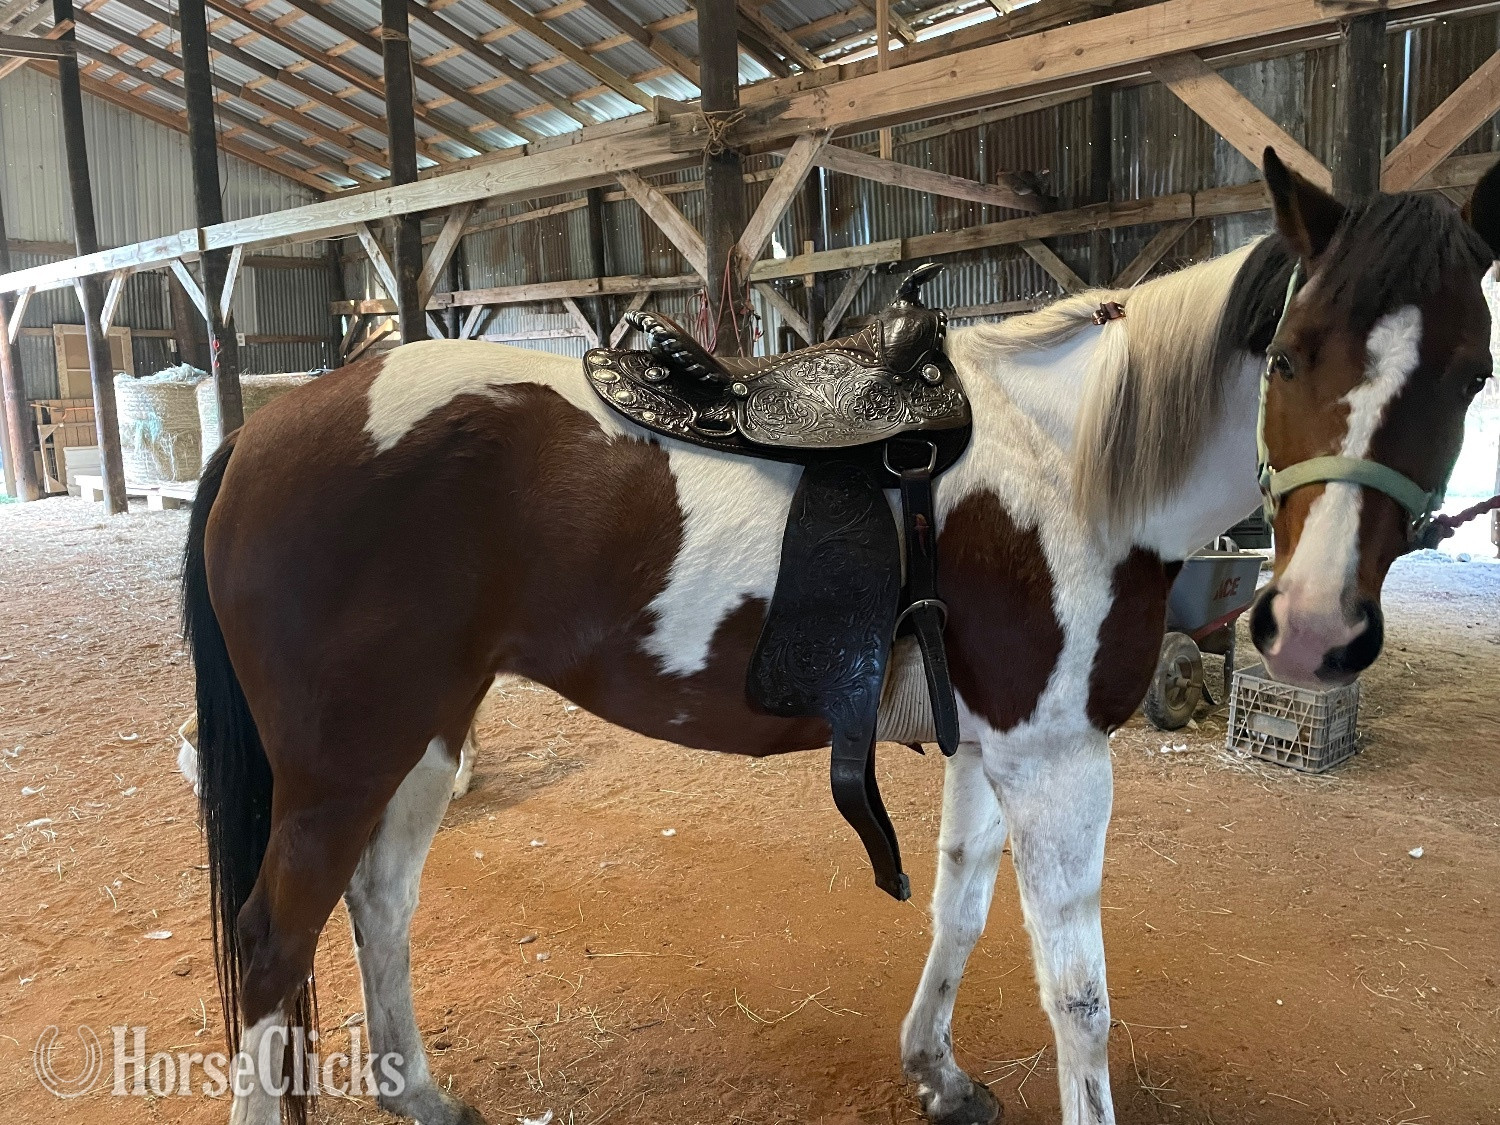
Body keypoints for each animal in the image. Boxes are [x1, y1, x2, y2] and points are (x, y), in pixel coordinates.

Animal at [183, 149, 1500, 1125]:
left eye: (1473, 374)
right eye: (1289, 355)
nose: (1314, 626)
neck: (1072, 462)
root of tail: (269, 427)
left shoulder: (994, 746)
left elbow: (962, 905)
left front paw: (939, 1073)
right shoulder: (1058, 759)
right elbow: (1078, 994)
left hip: (427, 729)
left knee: (379, 899)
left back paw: (418, 1091)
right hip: (345, 758)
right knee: (273, 942)